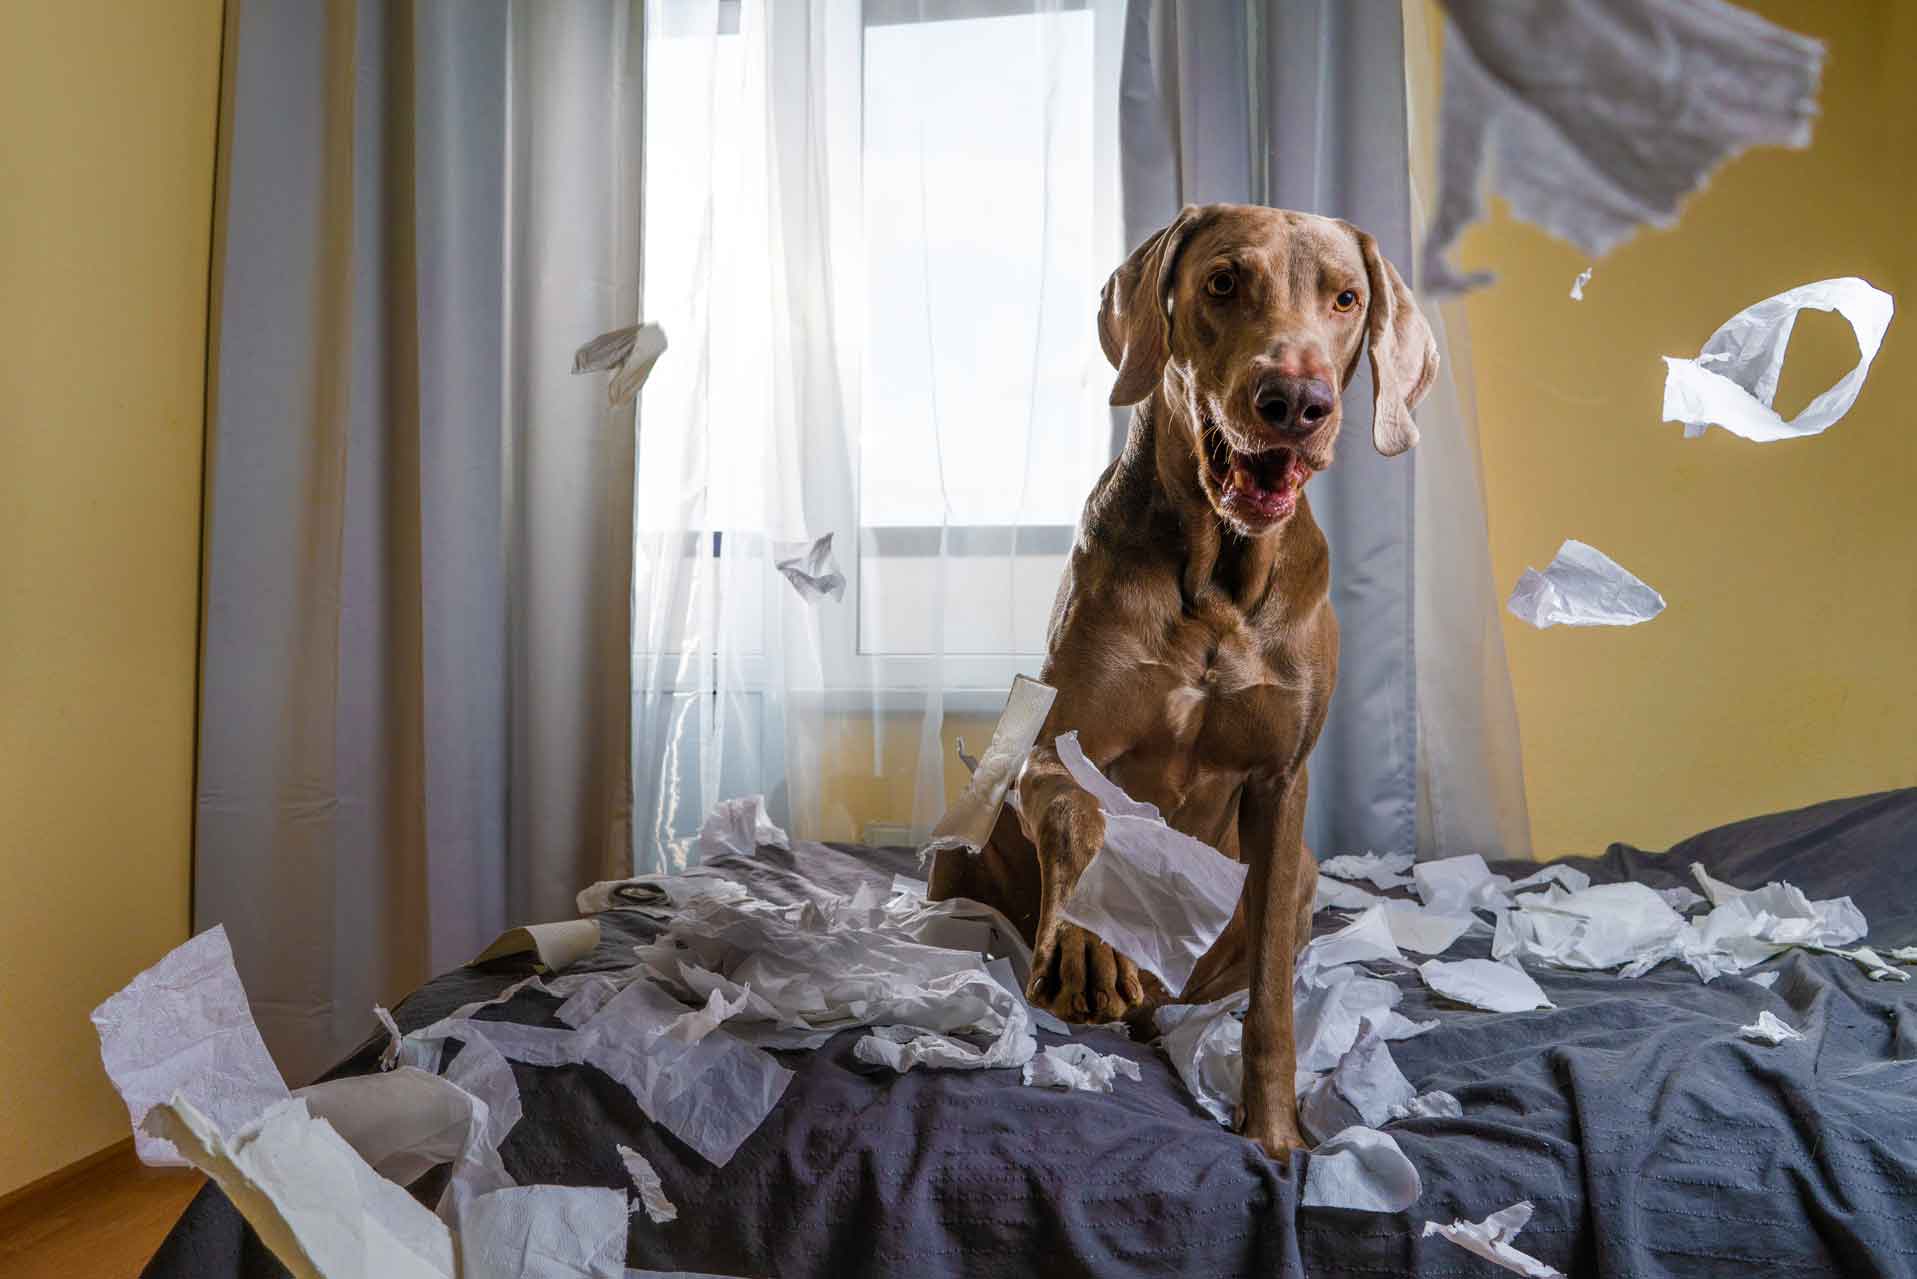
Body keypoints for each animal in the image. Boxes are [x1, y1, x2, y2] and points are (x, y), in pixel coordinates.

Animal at [927, 205, 1441, 1158]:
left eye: (1345, 298)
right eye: (1223, 282)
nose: (1295, 402)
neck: (1217, 583)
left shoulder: (1281, 786)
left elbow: (1272, 990)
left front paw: (1274, 1130)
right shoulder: (1055, 742)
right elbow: (1084, 811)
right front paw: (1089, 947)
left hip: (1304, 874)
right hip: (958, 852)